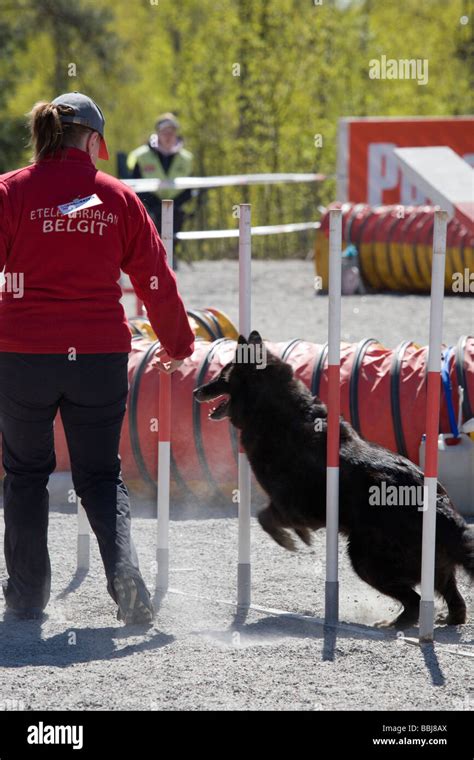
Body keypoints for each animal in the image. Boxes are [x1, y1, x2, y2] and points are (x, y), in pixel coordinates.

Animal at [193, 330, 474, 628]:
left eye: (222, 376)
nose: (196, 391)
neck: (276, 412)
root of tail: (442, 511)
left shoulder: (294, 505)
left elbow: (265, 517)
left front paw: (290, 539)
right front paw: (297, 537)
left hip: (365, 558)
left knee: (415, 600)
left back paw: (396, 623)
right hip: (428, 564)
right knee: (453, 598)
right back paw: (446, 618)